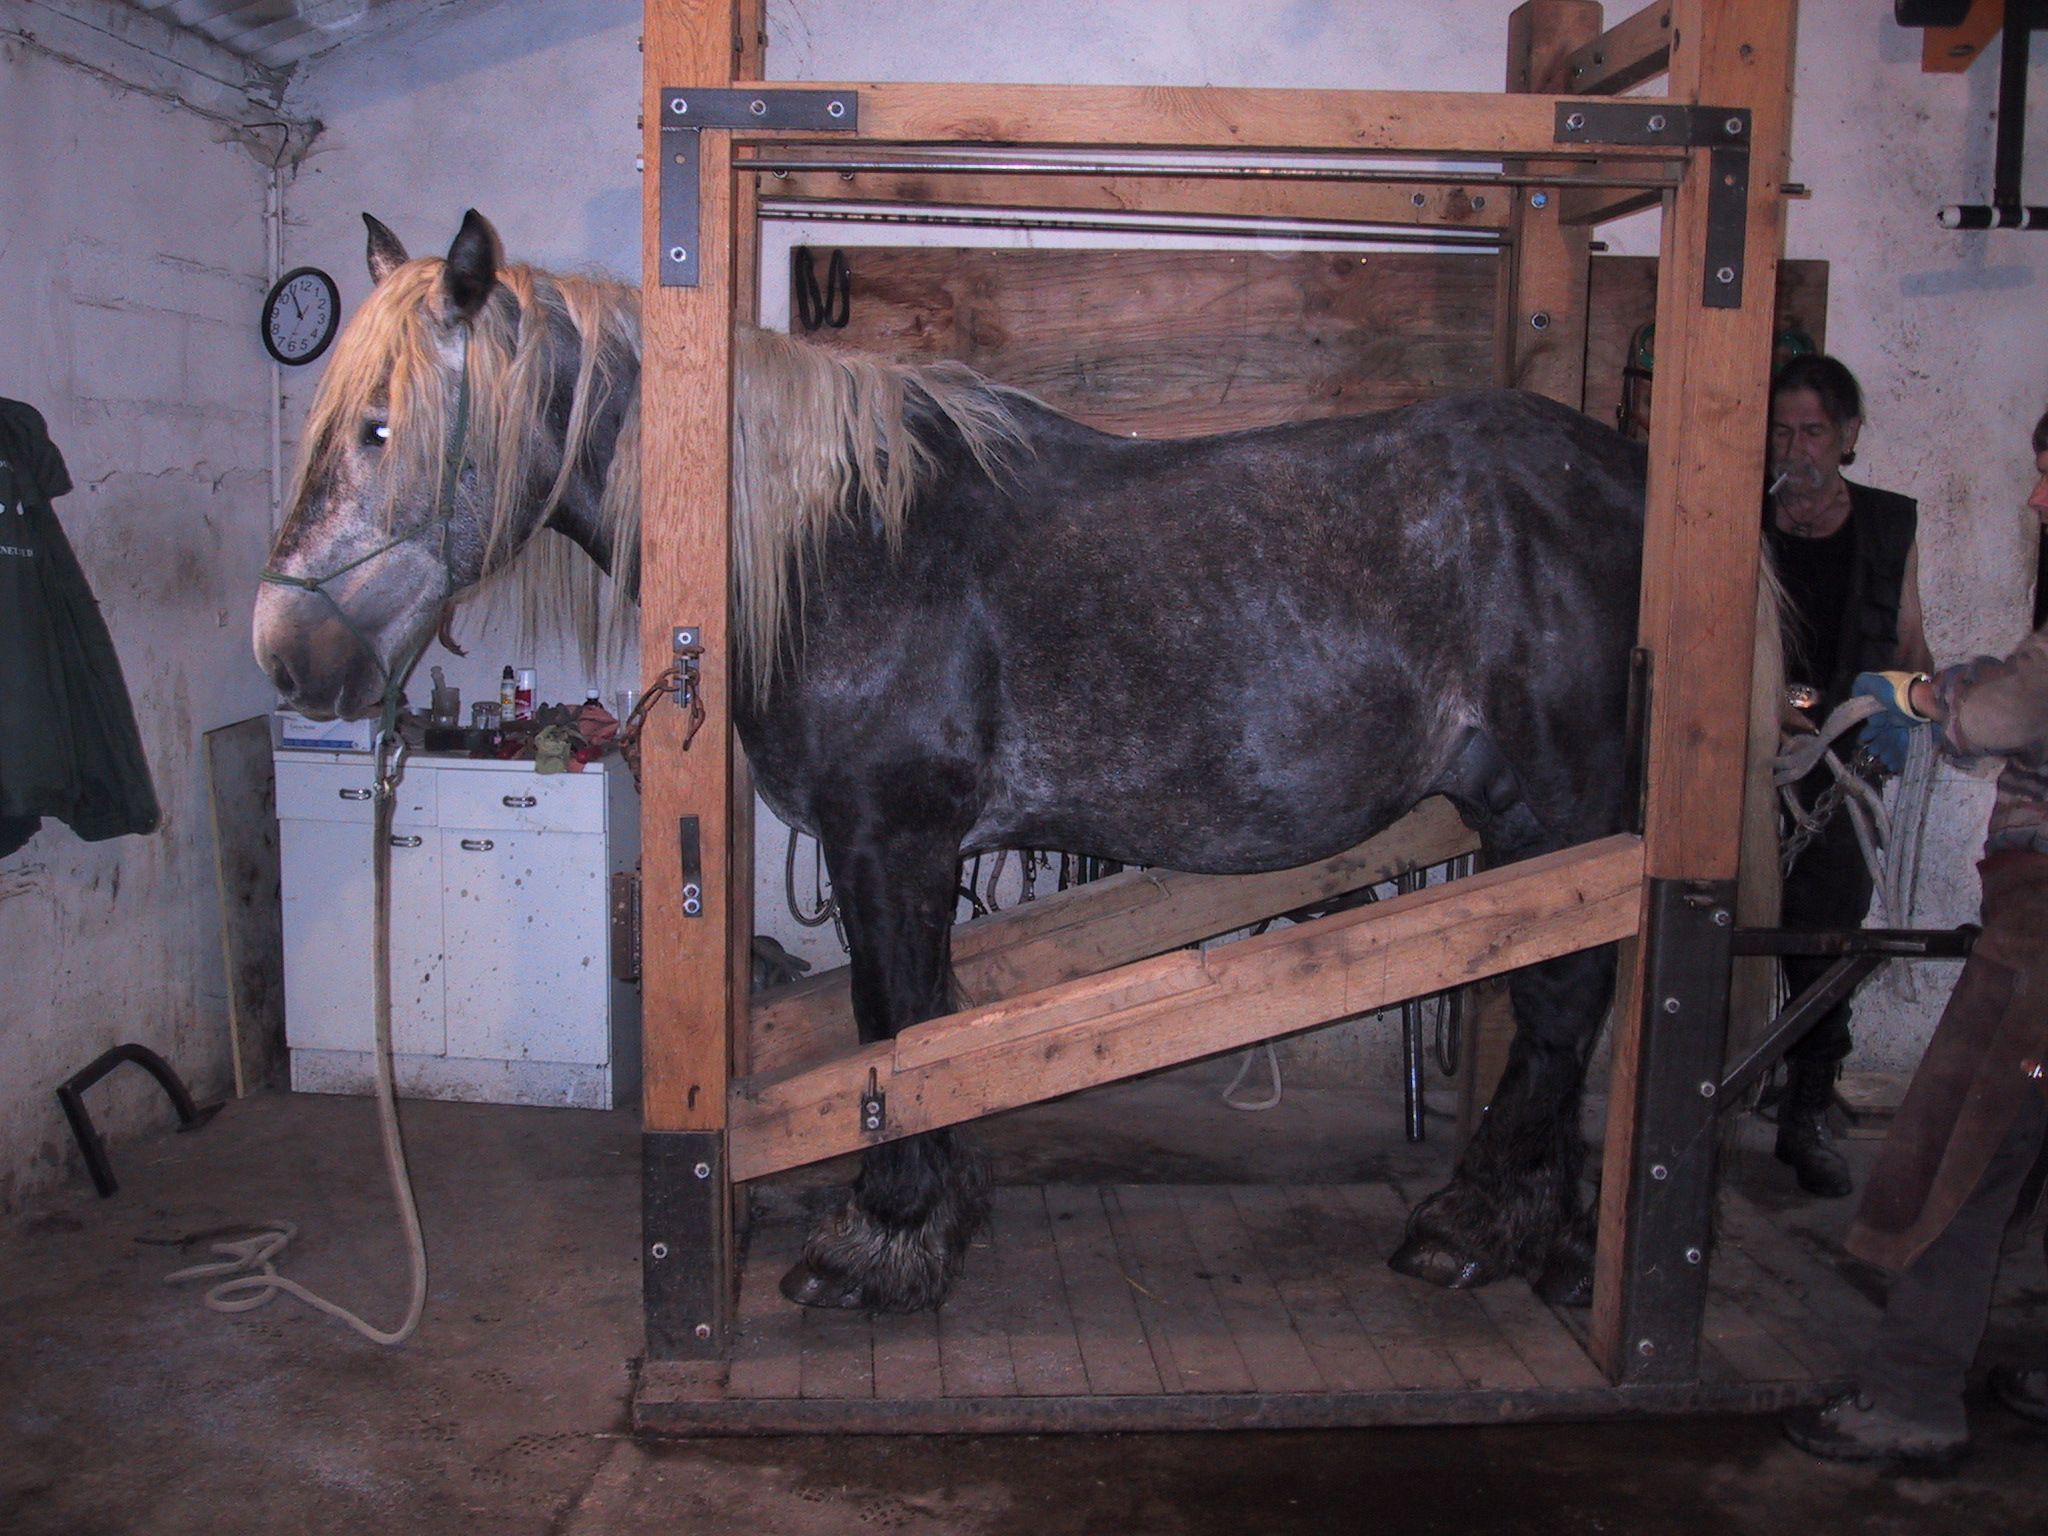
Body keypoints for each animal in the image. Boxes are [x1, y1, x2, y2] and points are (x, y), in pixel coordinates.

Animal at [256, 209, 1652, 1314]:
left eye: (379, 428)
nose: (287, 652)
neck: (839, 546)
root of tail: (1622, 473)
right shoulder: (901, 854)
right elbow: (921, 1022)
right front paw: (934, 1214)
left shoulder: (890, 843)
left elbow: (894, 1028)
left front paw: (880, 1237)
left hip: (1556, 812)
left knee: (1561, 1002)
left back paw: (1479, 1227)